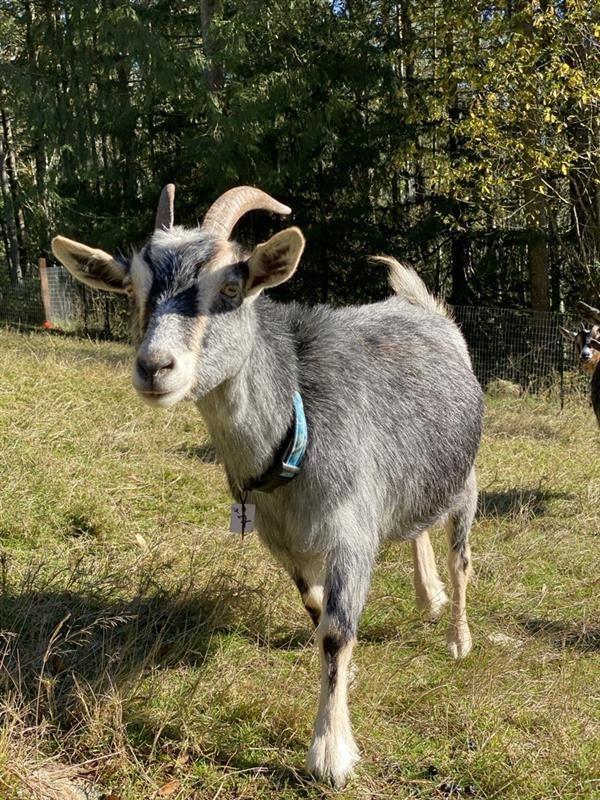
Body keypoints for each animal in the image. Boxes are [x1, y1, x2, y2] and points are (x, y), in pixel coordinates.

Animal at [51, 185, 483, 788]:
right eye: (134, 292)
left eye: (230, 288)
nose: (155, 367)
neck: (297, 426)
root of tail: (425, 309)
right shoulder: (284, 543)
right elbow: (316, 609)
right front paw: (347, 682)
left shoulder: (351, 531)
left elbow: (336, 631)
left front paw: (330, 753)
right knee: (414, 527)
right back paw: (430, 598)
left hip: (464, 478)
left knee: (460, 556)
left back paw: (458, 636)